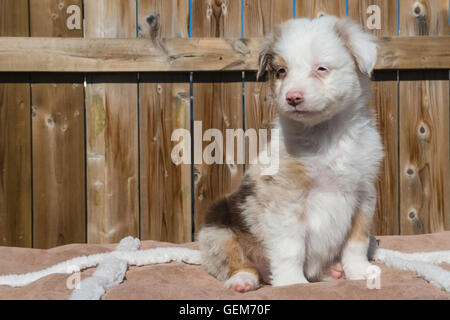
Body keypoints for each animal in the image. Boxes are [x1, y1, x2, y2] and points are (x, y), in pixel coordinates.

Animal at [200, 16, 384, 292]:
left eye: (321, 69)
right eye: (281, 71)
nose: (292, 97)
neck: (324, 132)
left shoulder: (363, 194)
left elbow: (357, 242)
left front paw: (360, 272)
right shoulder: (286, 200)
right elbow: (290, 247)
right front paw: (291, 283)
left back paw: (335, 271)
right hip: (217, 229)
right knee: (240, 263)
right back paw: (242, 281)